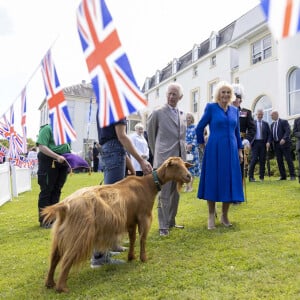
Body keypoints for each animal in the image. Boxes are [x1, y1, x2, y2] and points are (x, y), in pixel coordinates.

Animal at [41, 156, 192, 292]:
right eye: (175, 166)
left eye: (185, 165)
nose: (189, 176)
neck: (147, 184)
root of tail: (64, 205)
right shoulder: (144, 216)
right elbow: (142, 238)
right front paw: (143, 258)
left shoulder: (131, 220)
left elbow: (132, 238)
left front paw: (131, 257)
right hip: (79, 234)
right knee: (67, 259)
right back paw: (61, 287)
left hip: (61, 234)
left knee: (54, 257)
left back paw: (49, 283)